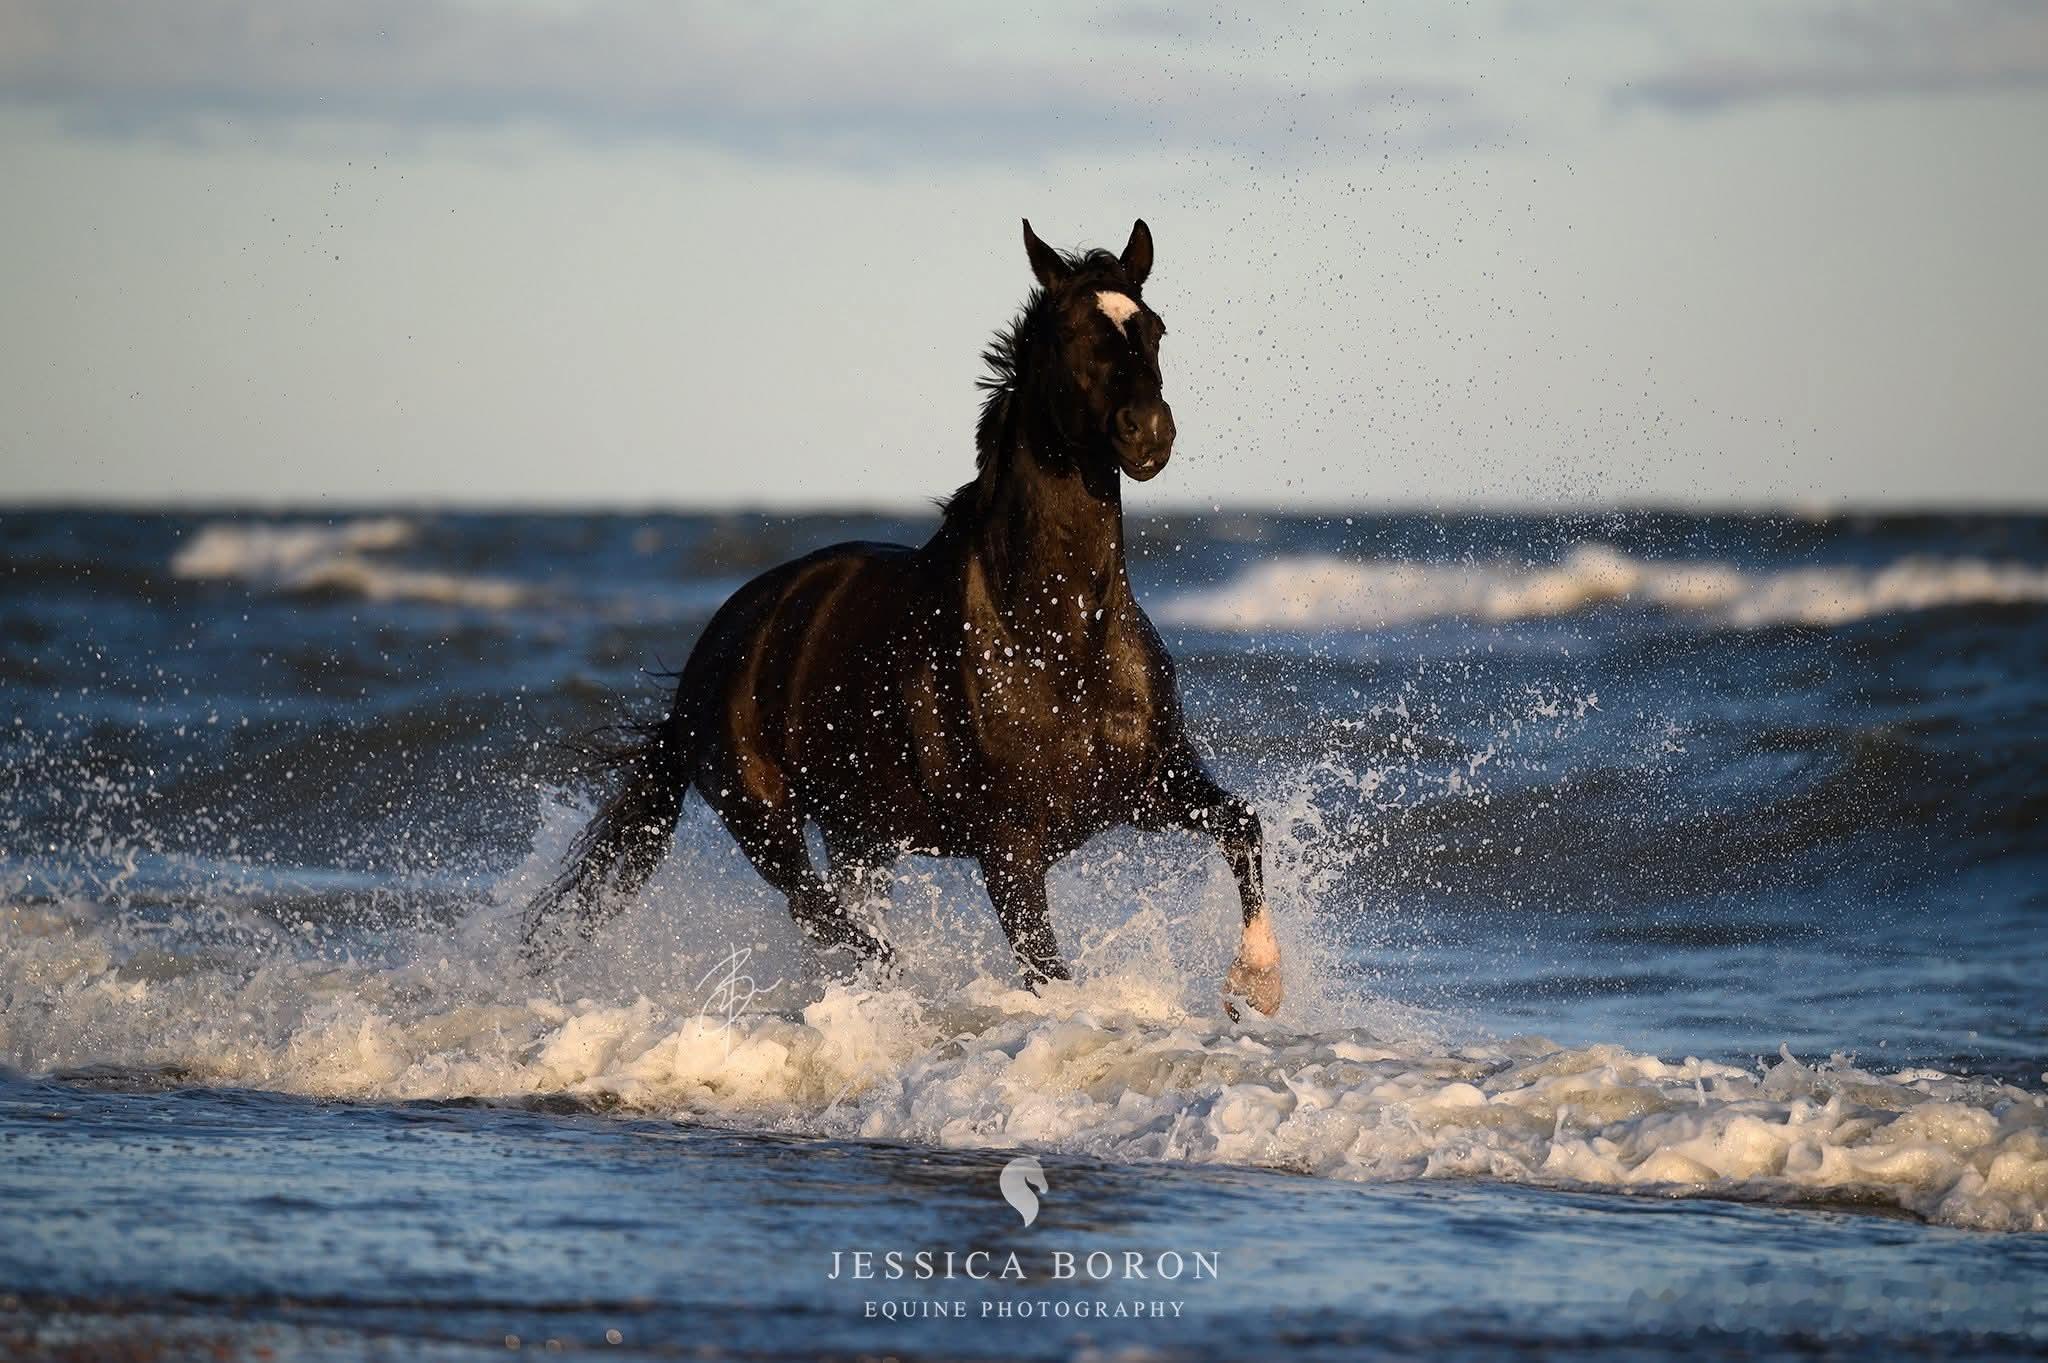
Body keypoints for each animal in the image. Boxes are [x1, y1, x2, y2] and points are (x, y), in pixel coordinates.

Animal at [522, 219, 1283, 1017]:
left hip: (863, 834)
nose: (1148, 434)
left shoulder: (1153, 787)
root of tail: (723, 640)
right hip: (766, 820)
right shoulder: (1011, 849)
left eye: (1154, 328)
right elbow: (1049, 972)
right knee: (816, 910)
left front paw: (1258, 981)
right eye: (1073, 332)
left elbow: (1243, 822)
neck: (1056, 640)